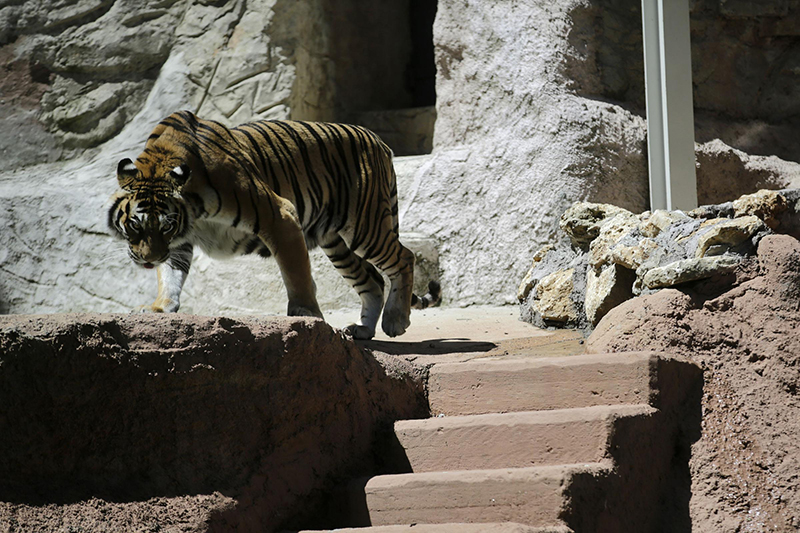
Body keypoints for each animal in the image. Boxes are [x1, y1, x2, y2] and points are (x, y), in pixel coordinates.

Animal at [107, 110, 440, 340]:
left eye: (164, 227)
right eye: (135, 225)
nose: (147, 260)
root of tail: (379, 140)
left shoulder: (280, 215)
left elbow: (296, 273)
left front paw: (306, 314)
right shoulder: (178, 242)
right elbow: (171, 275)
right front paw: (159, 308)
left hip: (364, 227)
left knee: (404, 258)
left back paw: (395, 320)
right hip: (337, 242)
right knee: (372, 281)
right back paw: (363, 330)